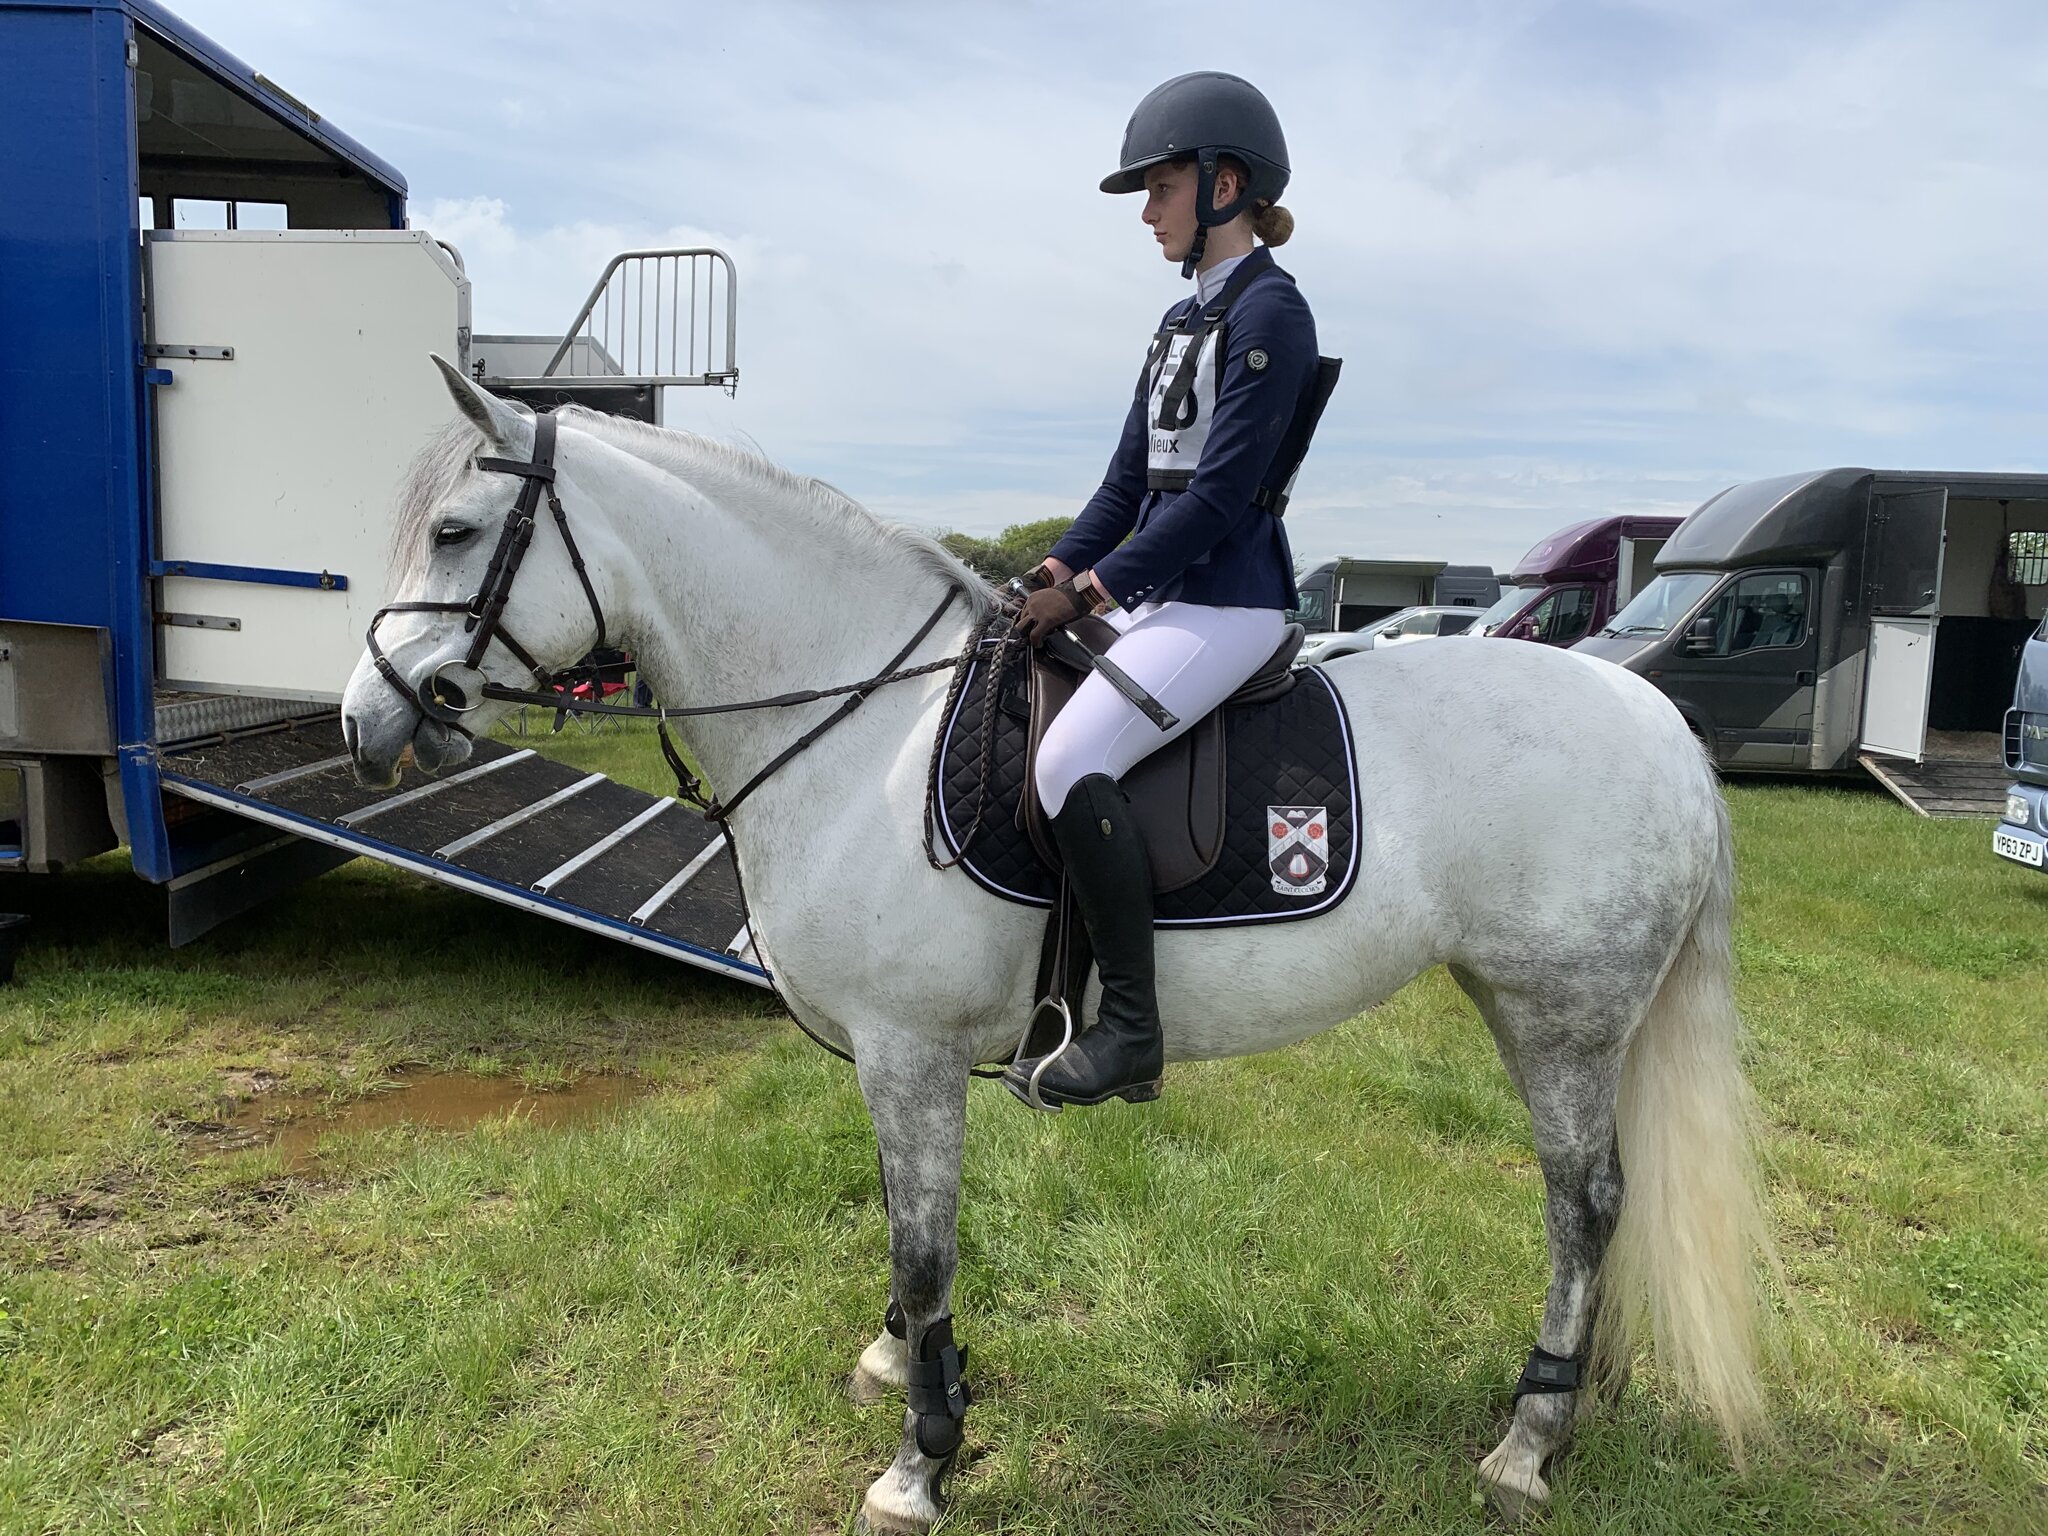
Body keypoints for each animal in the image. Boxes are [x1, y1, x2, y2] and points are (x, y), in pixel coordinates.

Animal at [339, 364, 1777, 1536]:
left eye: (456, 531)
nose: (367, 723)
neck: (865, 732)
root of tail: (1651, 714)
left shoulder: (908, 1053)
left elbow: (923, 1249)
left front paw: (921, 1459)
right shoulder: (900, 1064)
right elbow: (910, 1236)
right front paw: (901, 1368)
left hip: (1559, 1016)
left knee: (1585, 1204)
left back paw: (1530, 1441)